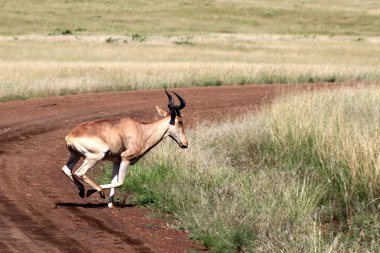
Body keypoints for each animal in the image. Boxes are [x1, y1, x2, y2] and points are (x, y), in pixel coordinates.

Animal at [60, 90, 189, 208]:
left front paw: (110, 205)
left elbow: (114, 181)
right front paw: (93, 192)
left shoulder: (116, 161)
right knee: (79, 172)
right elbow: (120, 183)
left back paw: (82, 191)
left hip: (75, 155)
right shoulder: (125, 159)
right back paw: (98, 191)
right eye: (180, 121)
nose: (185, 144)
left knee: (66, 169)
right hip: (94, 157)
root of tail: (71, 135)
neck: (141, 130)